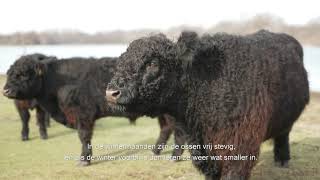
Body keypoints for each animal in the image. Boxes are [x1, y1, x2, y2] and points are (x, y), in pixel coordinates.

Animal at [3, 53, 185, 166]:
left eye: (24, 74)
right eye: (10, 73)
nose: (5, 90)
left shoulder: (84, 114)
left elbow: (84, 136)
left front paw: (84, 159)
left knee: (178, 132)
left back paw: (174, 156)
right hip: (163, 113)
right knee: (166, 128)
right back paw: (155, 151)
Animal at [106, 30, 308, 179]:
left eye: (153, 63)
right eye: (121, 61)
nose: (111, 93)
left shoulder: (240, 146)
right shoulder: (202, 150)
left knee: (283, 136)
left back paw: (282, 160)